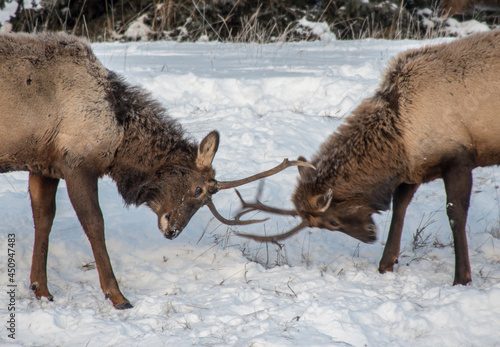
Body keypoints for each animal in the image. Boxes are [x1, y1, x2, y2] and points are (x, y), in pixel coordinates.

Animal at [0, 33, 312, 310]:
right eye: (198, 189)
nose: (173, 230)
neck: (118, 135)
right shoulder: (76, 163)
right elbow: (94, 224)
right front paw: (117, 296)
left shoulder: (44, 164)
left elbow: (44, 218)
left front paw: (41, 289)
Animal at [236, 29, 500, 286]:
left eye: (332, 223)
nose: (370, 236)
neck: (401, 137)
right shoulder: (416, 169)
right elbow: (399, 205)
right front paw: (386, 263)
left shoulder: (458, 159)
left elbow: (456, 215)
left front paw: (462, 277)